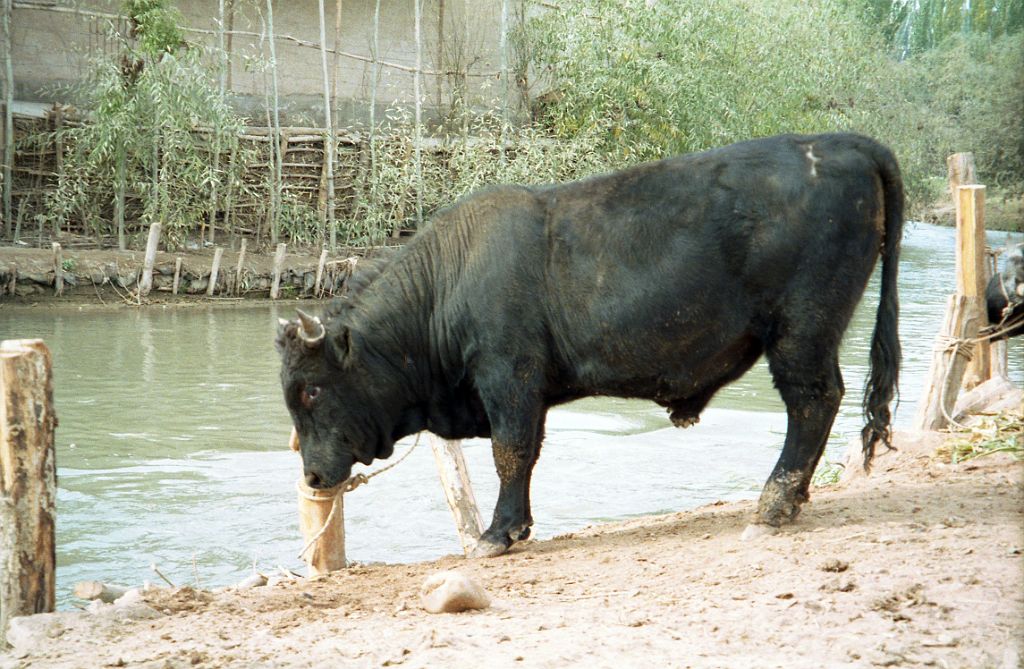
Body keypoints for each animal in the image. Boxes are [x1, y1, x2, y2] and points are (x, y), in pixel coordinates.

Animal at [276, 132, 901, 557]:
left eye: (311, 391)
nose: (312, 477)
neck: (448, 279)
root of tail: (842, 142)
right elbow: (526, 454)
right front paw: (517, 528)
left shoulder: (509, 378)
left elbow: (511, 452)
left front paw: (496, 535)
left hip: (801, 334)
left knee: (813, 402)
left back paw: (772, 505)